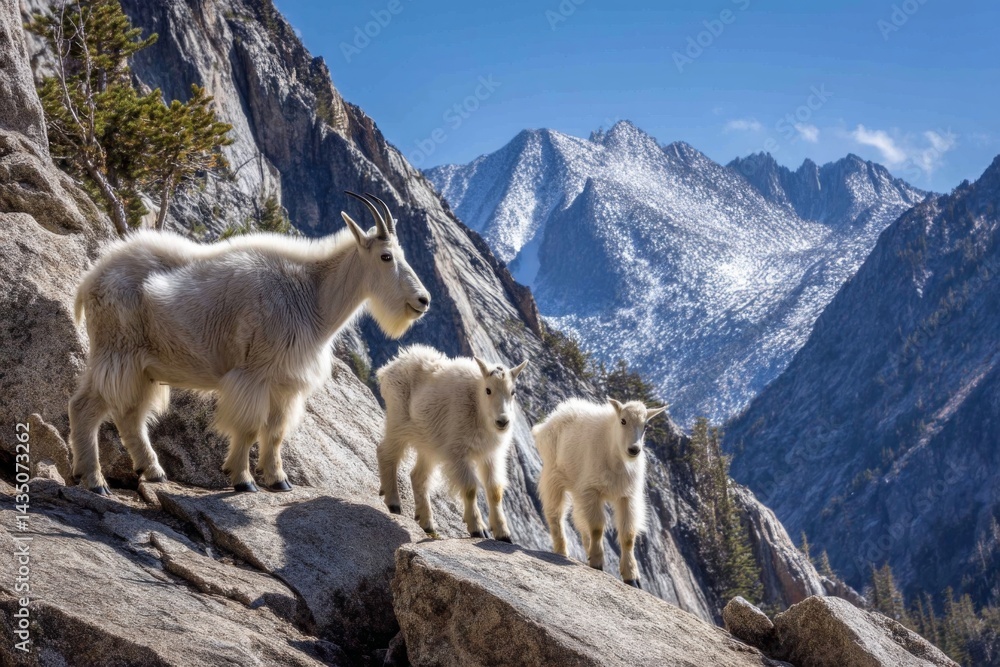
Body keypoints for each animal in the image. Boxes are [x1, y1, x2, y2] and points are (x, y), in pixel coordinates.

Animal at [69, 192, 430, 494]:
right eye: (386, 256)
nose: (423, 301)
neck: (311, 295)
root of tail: (90, 278)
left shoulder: (284, 383)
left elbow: (275, 432)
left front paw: (278, 480)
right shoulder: (253, 375)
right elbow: (249, 427)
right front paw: (243, 480)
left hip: (141, 367)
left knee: (129, 415)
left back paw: (151, 471)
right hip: (118, 353)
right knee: (86, 407)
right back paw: (95, 481)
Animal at [375, 344, 527, 540]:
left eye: (513, 392)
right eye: (488, 390)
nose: (502, 422)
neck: (478, 407)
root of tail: (389, 367)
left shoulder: (490, 455)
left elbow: (495, 491)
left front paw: (503, 534)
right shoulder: (457, 453)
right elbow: (470, 489)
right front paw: (477, 528)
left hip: (429, 443)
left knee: (418, 476)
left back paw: (427, 523)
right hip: (398, 423)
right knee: (386, 454)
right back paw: (394, 503)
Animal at [532, 397, 667, 587]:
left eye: (646, 426)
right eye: (623, 420)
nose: (634, 450)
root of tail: (547, 422)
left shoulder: (627, 496)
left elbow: (627, 536)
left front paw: (632, 577)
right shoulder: (592, 490)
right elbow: (597, 527)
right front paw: (597, 562)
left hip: (577, 488)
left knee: (579, 520)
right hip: (554, 475)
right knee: (555, 514)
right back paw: (562, 551)